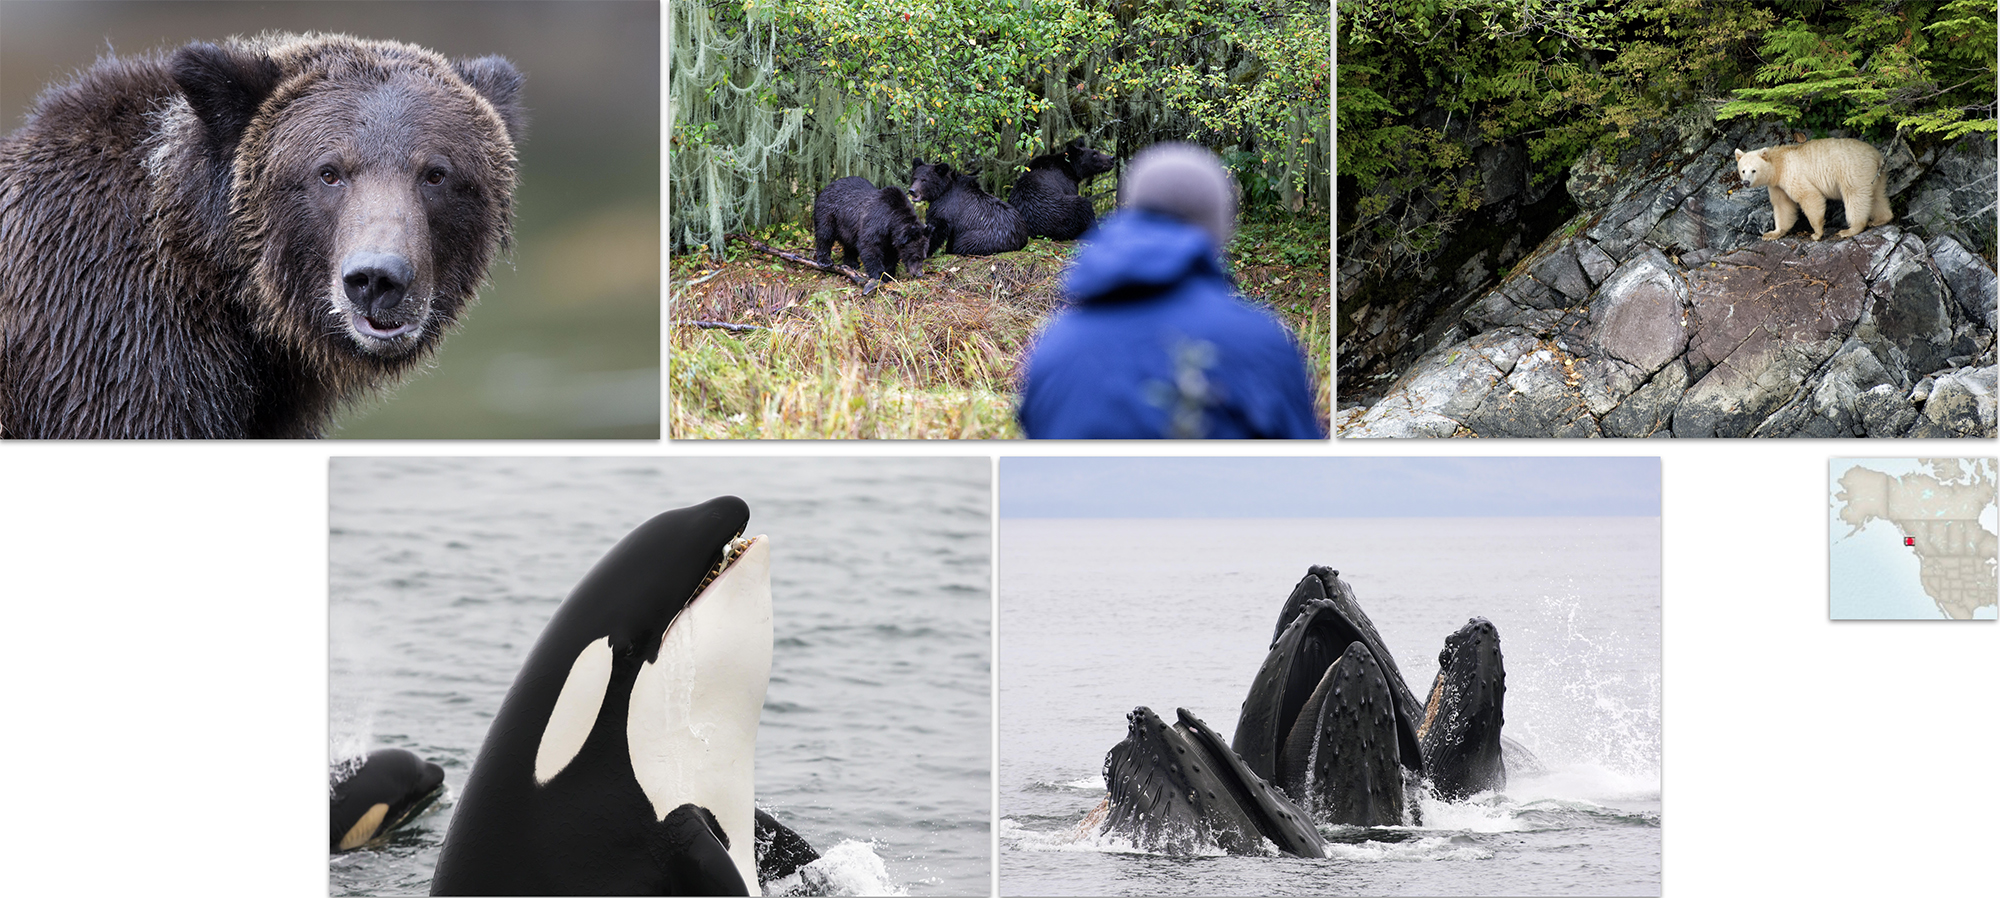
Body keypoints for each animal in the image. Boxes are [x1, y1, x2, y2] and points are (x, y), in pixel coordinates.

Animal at [1736, 137, 1888, 242]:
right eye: (1743, 170)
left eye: (1754, 170)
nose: (1746, 182)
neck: (1779, 164)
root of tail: (1877, 157)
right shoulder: (1776, 186)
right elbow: (1782, 205)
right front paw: (1771, 233)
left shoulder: (1792, 174)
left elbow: (1809, 196)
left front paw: (1816, 233)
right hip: (1876, 176)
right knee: (1878, 195)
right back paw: (1880, 219)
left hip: (1853, 170)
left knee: (1854, 196)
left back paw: (1850, 230)